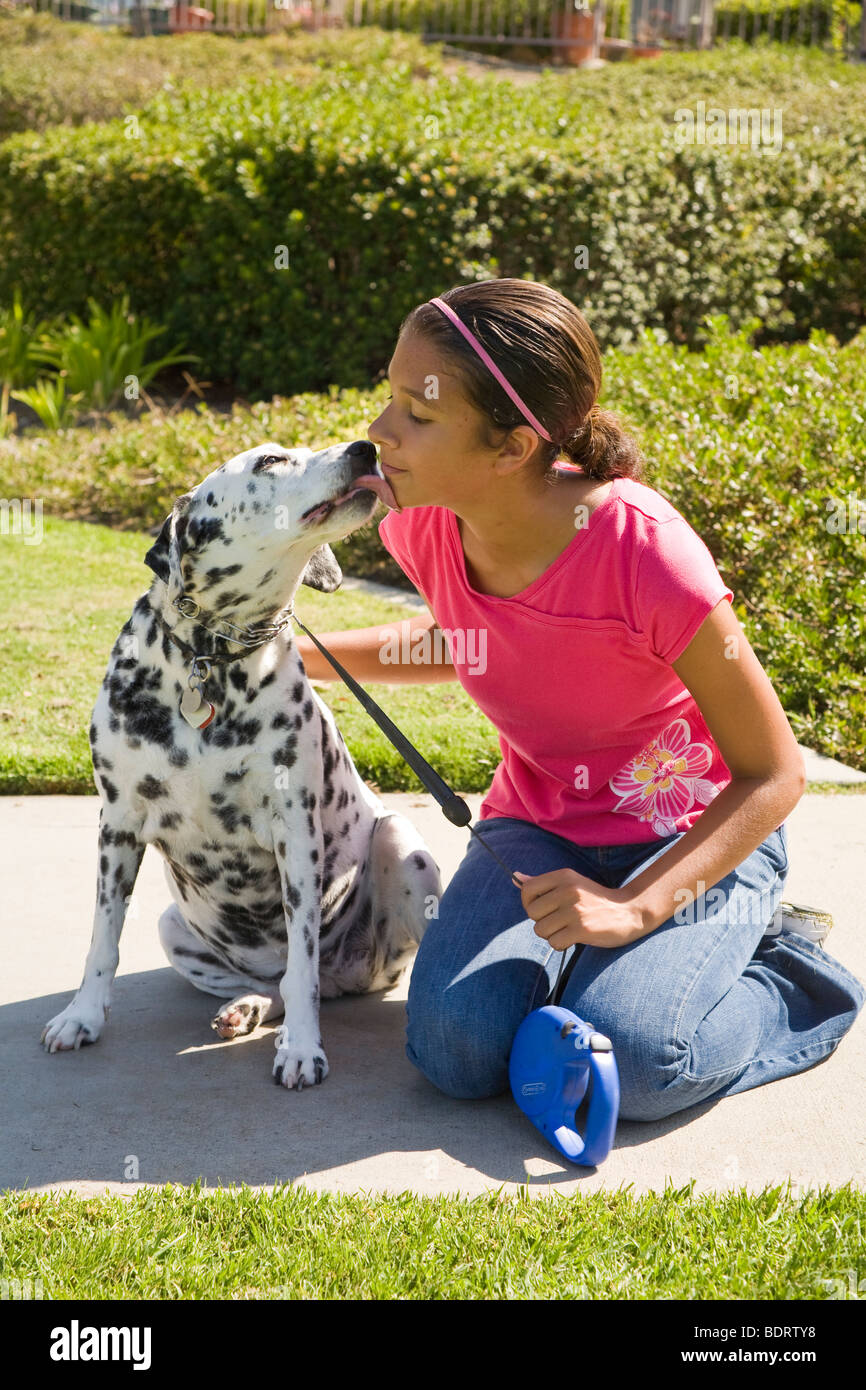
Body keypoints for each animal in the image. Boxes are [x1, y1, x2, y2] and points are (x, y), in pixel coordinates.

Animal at [39, 439, 439, 1089]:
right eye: (271, 461)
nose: (365, 447)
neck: (210, 659)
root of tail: (345, 976)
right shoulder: (117, 825)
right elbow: (103, 939)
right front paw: (82, 1016)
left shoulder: (295, 834)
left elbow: (301, 965)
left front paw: (302, 1047)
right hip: (174, 926)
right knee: (269, 984)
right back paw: (247, 1005)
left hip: (403, 845)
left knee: (312, 973)